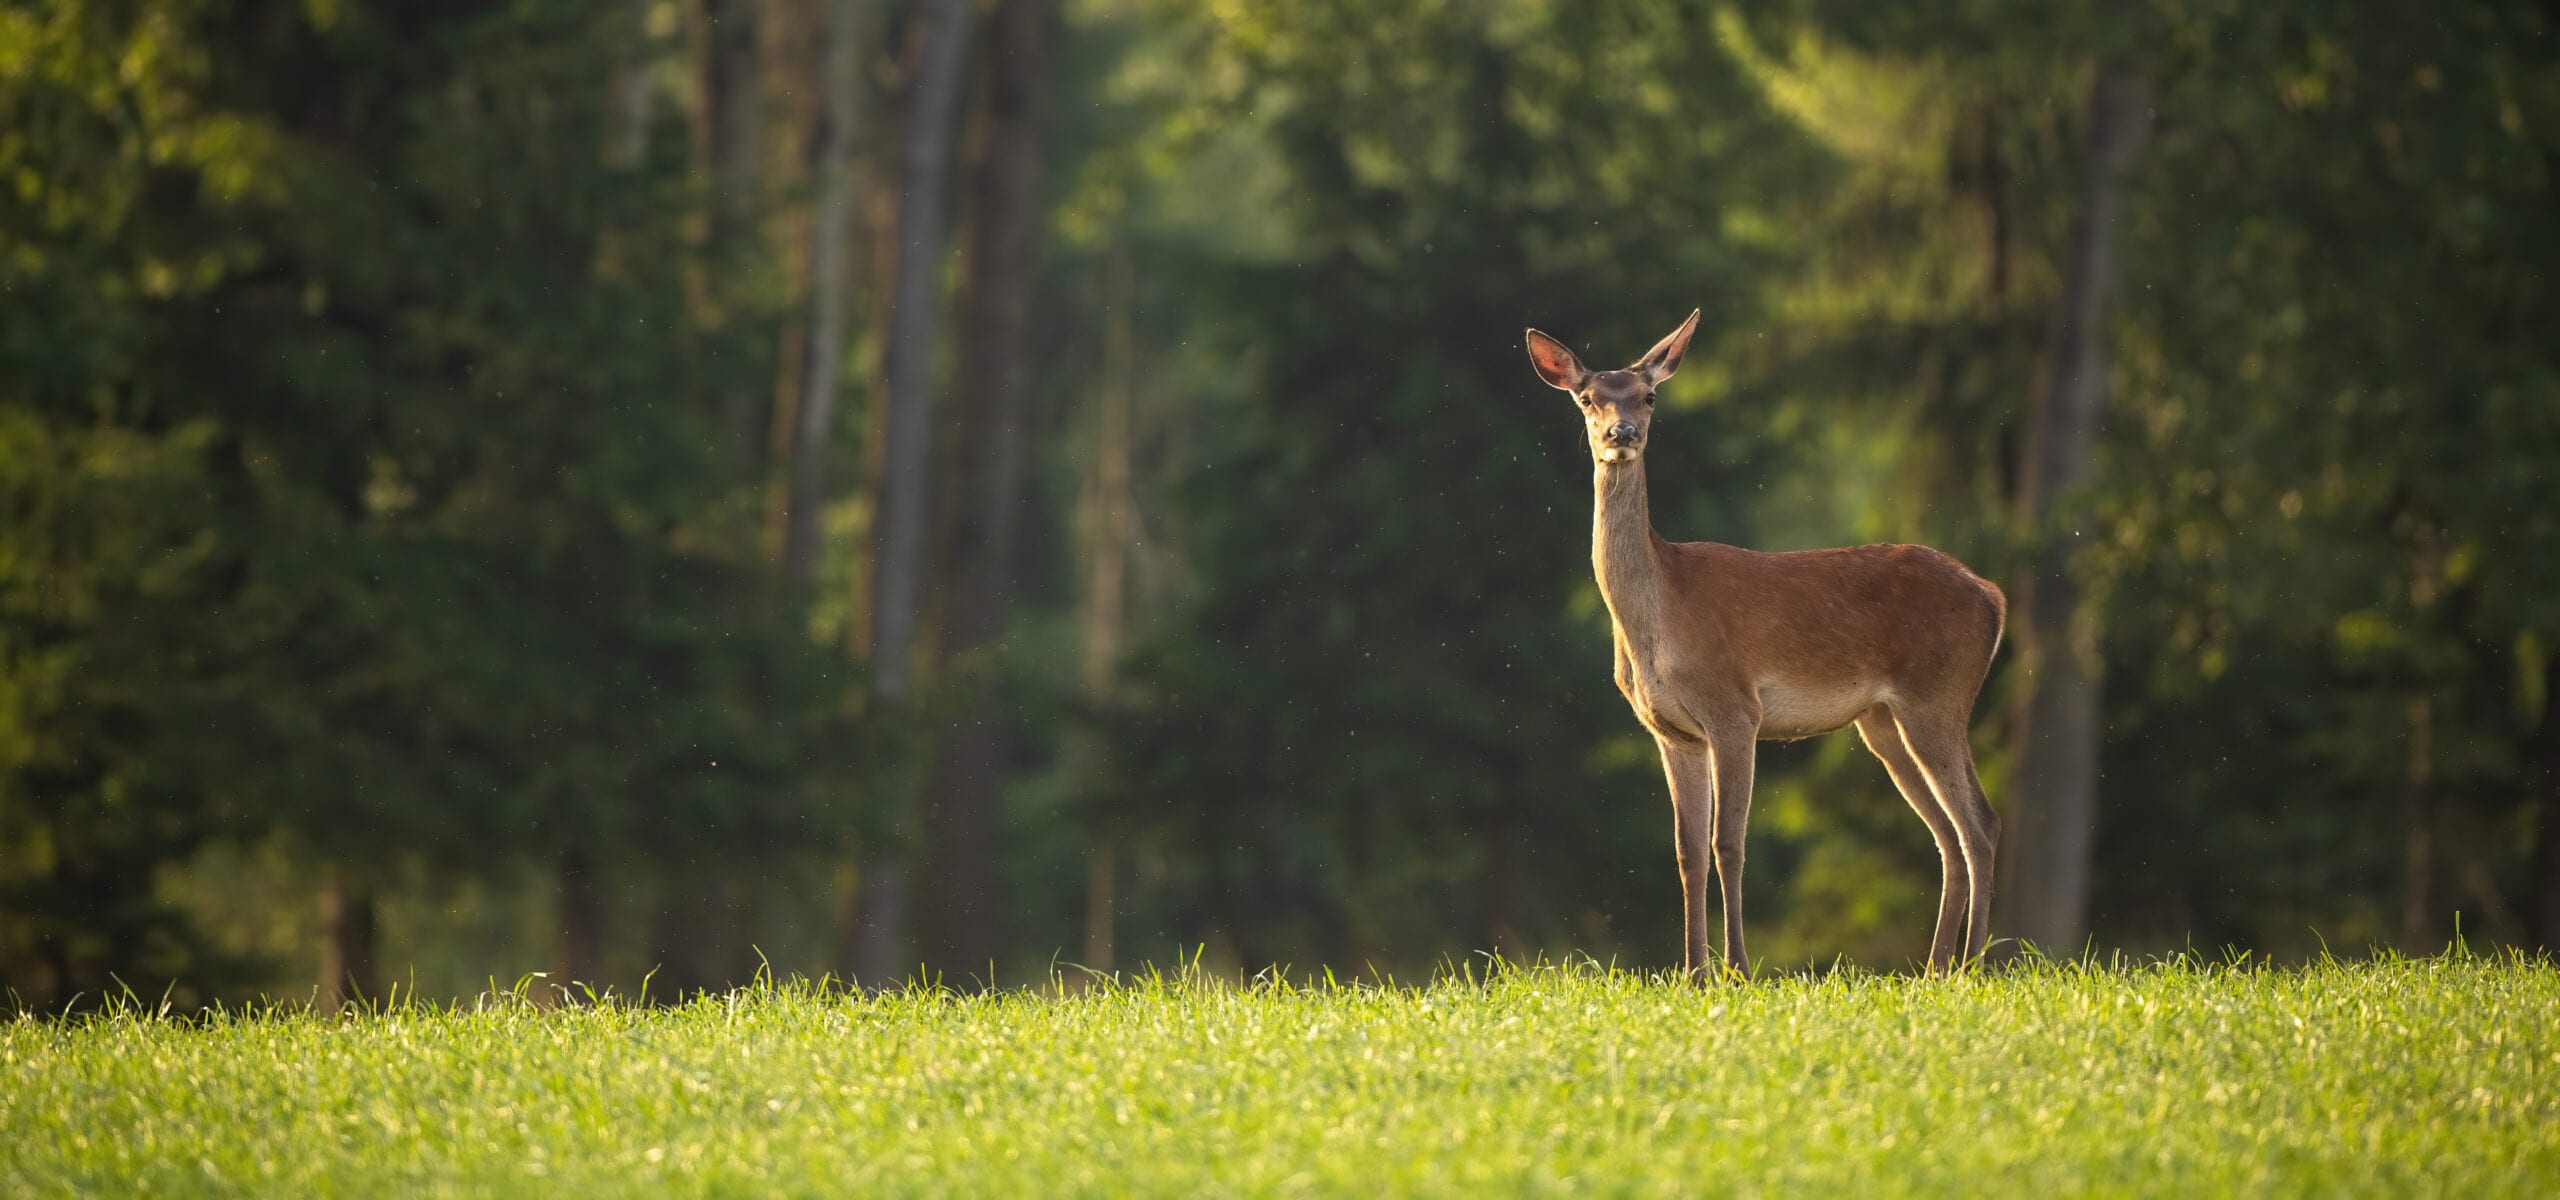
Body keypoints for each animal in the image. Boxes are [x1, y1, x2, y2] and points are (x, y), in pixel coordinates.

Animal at [1525, 310, 2008, 981]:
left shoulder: (1736, 710)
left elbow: (1728, 842)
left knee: (1980, 823)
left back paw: (1973, 966)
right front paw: (1693, 973)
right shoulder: (1671, 731)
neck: (1660, 619)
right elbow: (1687, 851)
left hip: (1937, 695)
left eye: (1649, 397)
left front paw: (1737, 969)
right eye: (1588, 398)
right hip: (1882, 722)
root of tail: (1992, 595)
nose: (1622, 432)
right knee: (1947, 832)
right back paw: (1938, 967)